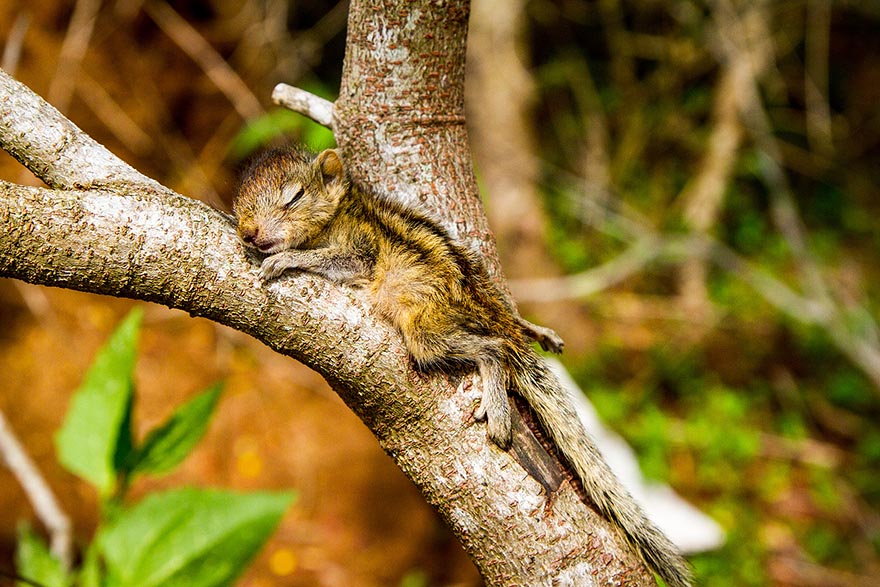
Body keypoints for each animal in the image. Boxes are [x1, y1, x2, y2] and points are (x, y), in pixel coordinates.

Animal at [233, 146, 693, 587]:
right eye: (240, 203)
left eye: (294, 197)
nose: (248, 232)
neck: (340, 212)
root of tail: (492, 314)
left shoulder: (359, 251)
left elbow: (331, 259)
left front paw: (286, 259)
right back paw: (535, 331)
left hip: (426, 331)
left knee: (494, 350)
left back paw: (500, 406)